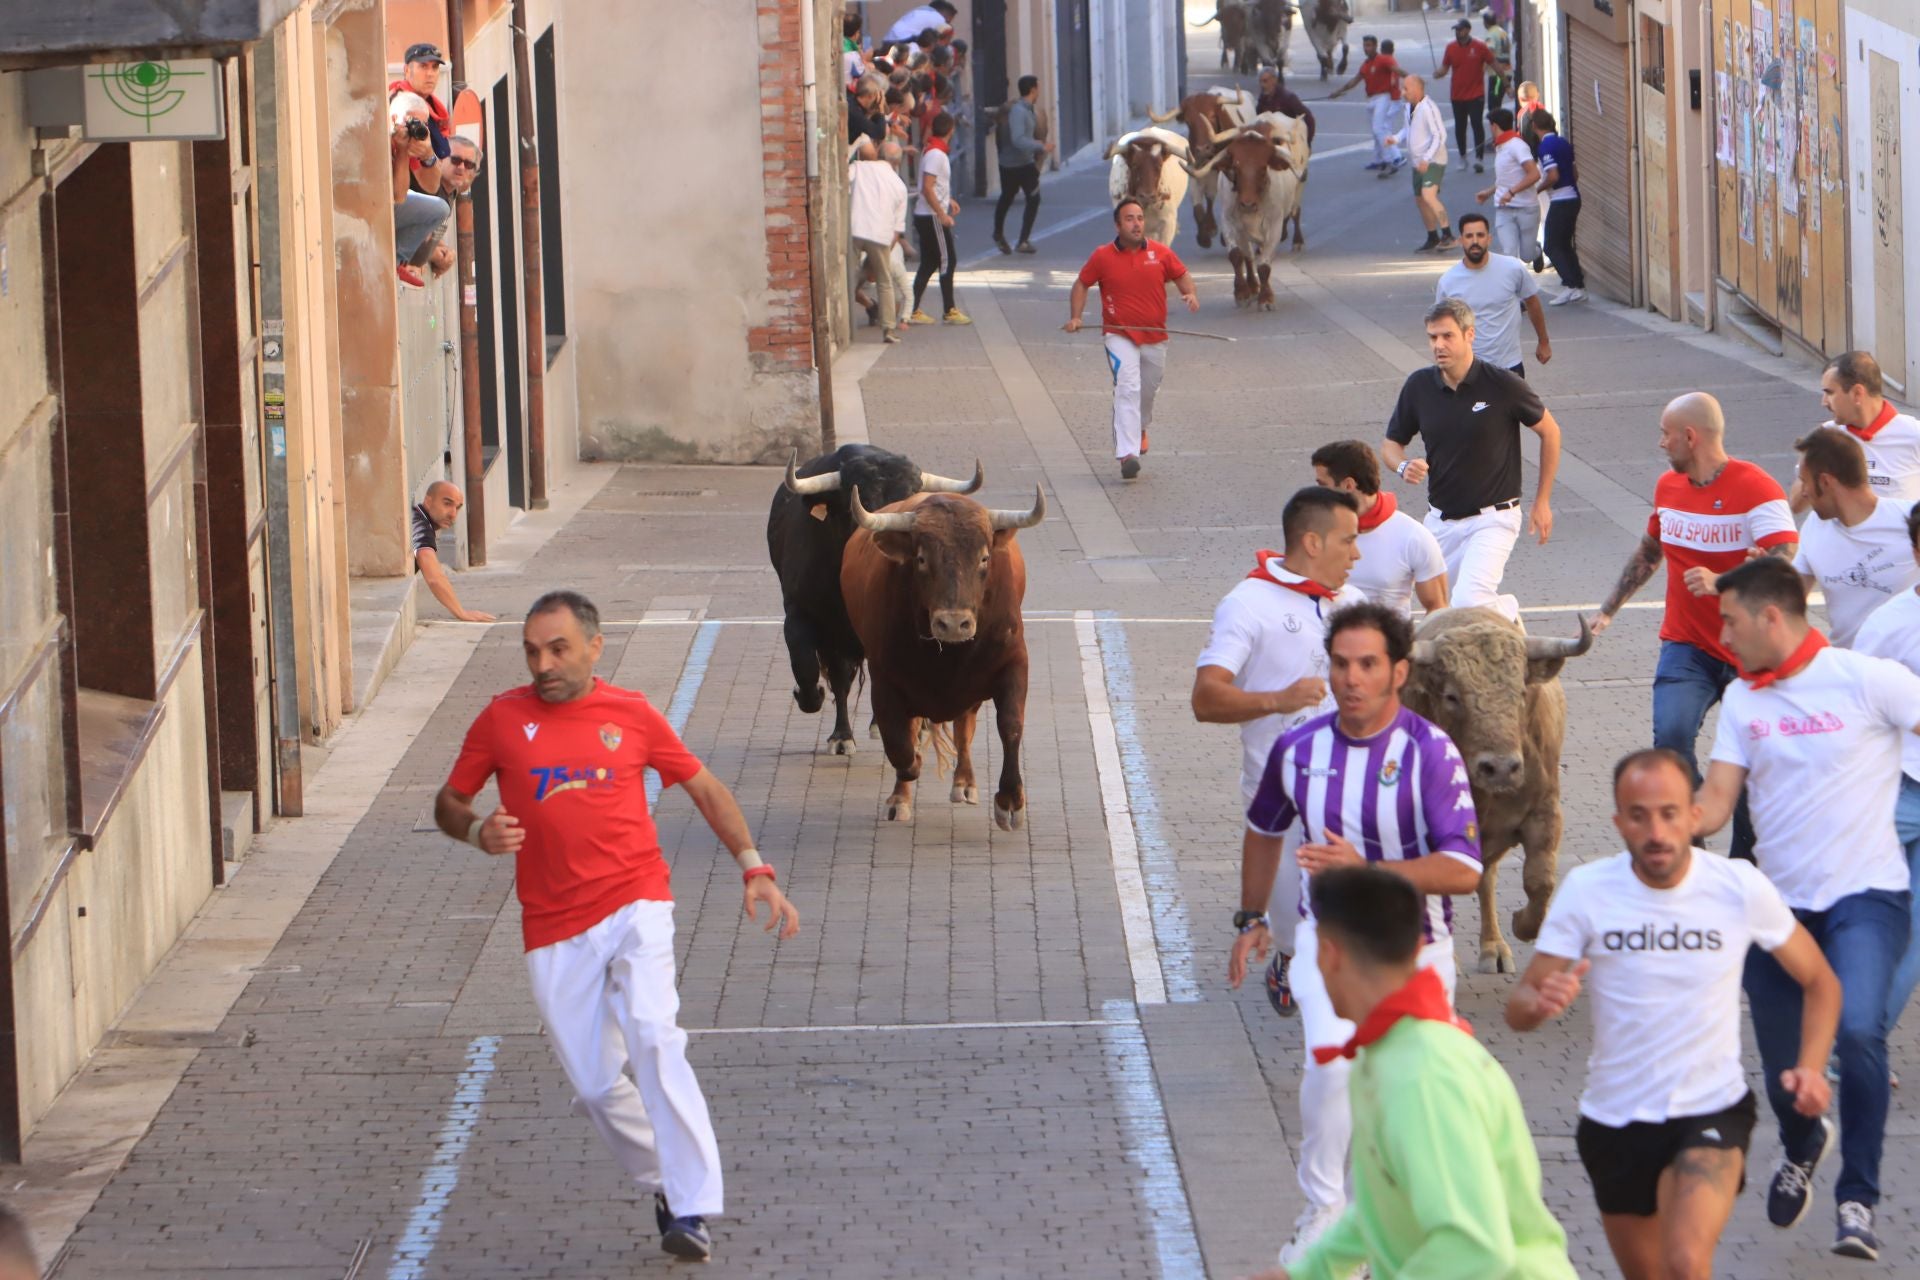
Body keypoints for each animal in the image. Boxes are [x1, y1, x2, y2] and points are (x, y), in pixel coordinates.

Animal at [840, 483, 1044, 832]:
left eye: (984, 558)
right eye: (921, 559)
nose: (953, 623)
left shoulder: (1014, 663)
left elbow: (1010, 725)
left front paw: (1010, 801)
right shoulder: (886, 682)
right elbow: (898, 742)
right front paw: (908, 775)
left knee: (964, 731)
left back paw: (964, 783)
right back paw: (901, 797)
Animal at [1397, 610, 1589, 971]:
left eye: (1522, 693)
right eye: (1452, 696)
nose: (1500, 767)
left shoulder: (1545, 812)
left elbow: (1540, 880)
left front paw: (1522, 924)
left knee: (1487, 879)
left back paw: (1493, 948)